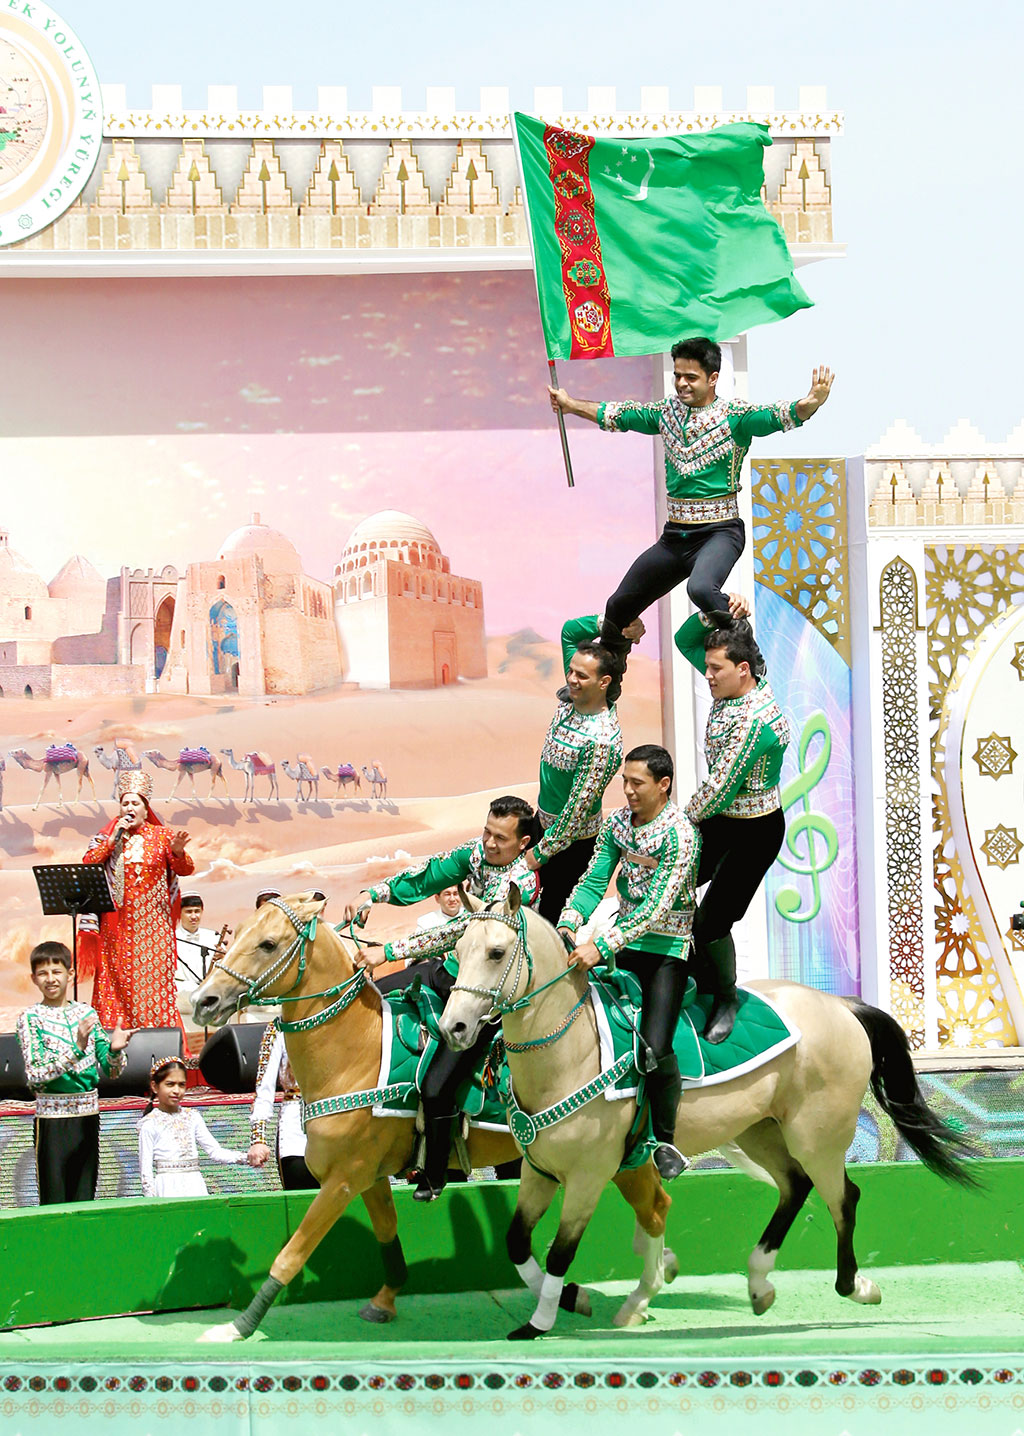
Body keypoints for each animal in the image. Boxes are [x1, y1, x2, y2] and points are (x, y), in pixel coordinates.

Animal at [188, 890, 675, 1338]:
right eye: (238, 934)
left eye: (268, 943)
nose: (203, 1001)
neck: (355, 1051)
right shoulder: (370, 1176)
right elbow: (389, 1237)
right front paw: (385, 1300)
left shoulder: (343, 1178)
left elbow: (292, 1253)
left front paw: (238, 1327)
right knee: (656, 1206)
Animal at [439, 890, 976, 1338]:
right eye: (457, 952)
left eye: (496, 952)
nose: (454, 1028)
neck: (570, 1052)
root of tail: (841, 1006)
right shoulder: (539, 1170)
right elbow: (516, 1242)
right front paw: (571, 1300)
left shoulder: (588, 1177)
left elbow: (559, 1252)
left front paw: (541, 1321)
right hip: (761, 1129)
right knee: (794, 1186)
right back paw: (759, 1284)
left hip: (817, 1136)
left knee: (844, 1198)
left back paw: (856, 1287)